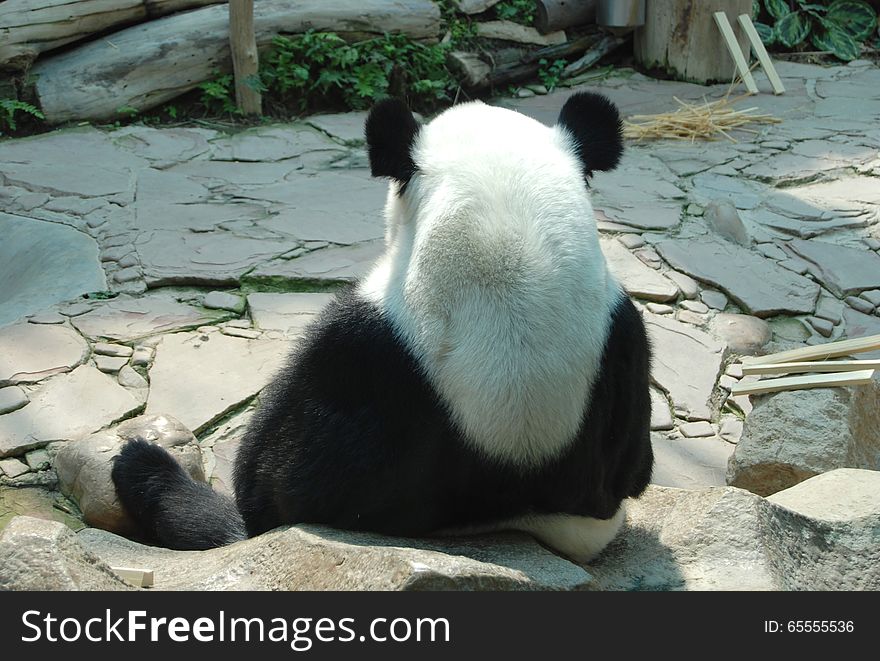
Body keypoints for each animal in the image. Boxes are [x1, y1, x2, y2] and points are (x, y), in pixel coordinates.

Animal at [113, 93, 652, 564]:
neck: (513, 254)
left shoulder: (353, 355)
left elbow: (267, 490)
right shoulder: (627, 337)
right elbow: (637, 470)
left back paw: (144, 466)